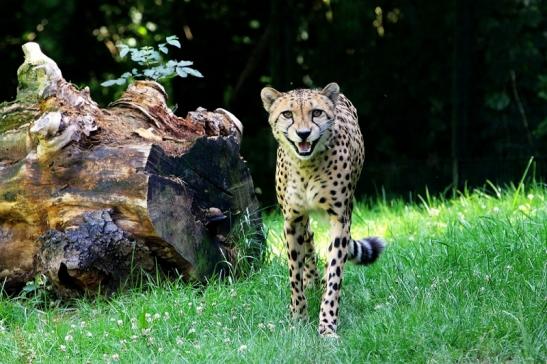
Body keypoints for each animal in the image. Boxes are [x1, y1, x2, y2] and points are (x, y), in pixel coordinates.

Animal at [262, 82, 386, 336]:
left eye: (316, 112)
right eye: (287, 114)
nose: (303, 133)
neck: (306, 167)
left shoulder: (340, 219)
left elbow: (335, 273)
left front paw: (327, 325)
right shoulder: (292, 219)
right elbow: (294, 273)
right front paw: (298, 318)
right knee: (308, 241)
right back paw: (311, 281)